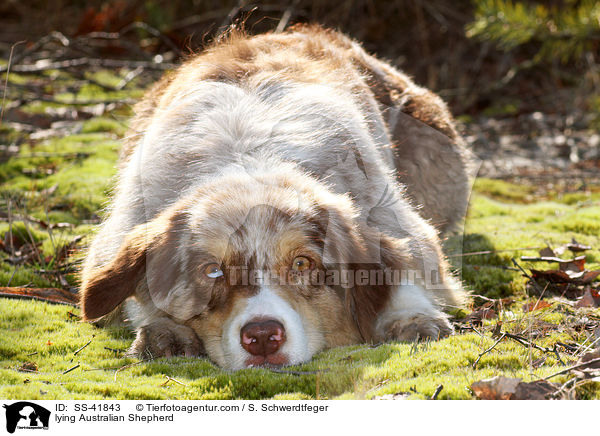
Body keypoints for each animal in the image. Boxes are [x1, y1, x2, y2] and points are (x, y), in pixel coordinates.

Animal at [79, 25, 472, 370]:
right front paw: (167, 331)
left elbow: (410, 265)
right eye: (212, 270)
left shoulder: (394, 218)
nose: (263, 336)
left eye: (302, 264)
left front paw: (411, 318)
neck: (249, 162)